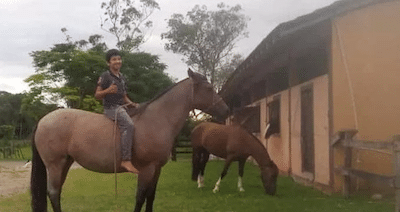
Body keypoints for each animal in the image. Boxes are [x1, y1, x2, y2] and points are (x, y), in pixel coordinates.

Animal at [30, 68, 228, 211]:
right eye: (209, 88)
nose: (226, 110)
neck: (157, 119)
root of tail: (42, 120)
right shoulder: (146, 169)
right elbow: (140, 197)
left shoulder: (157, 169)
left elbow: (150, 197)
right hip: (55, 165)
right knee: (53, 193)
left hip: (65, 163)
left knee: (55, 192)